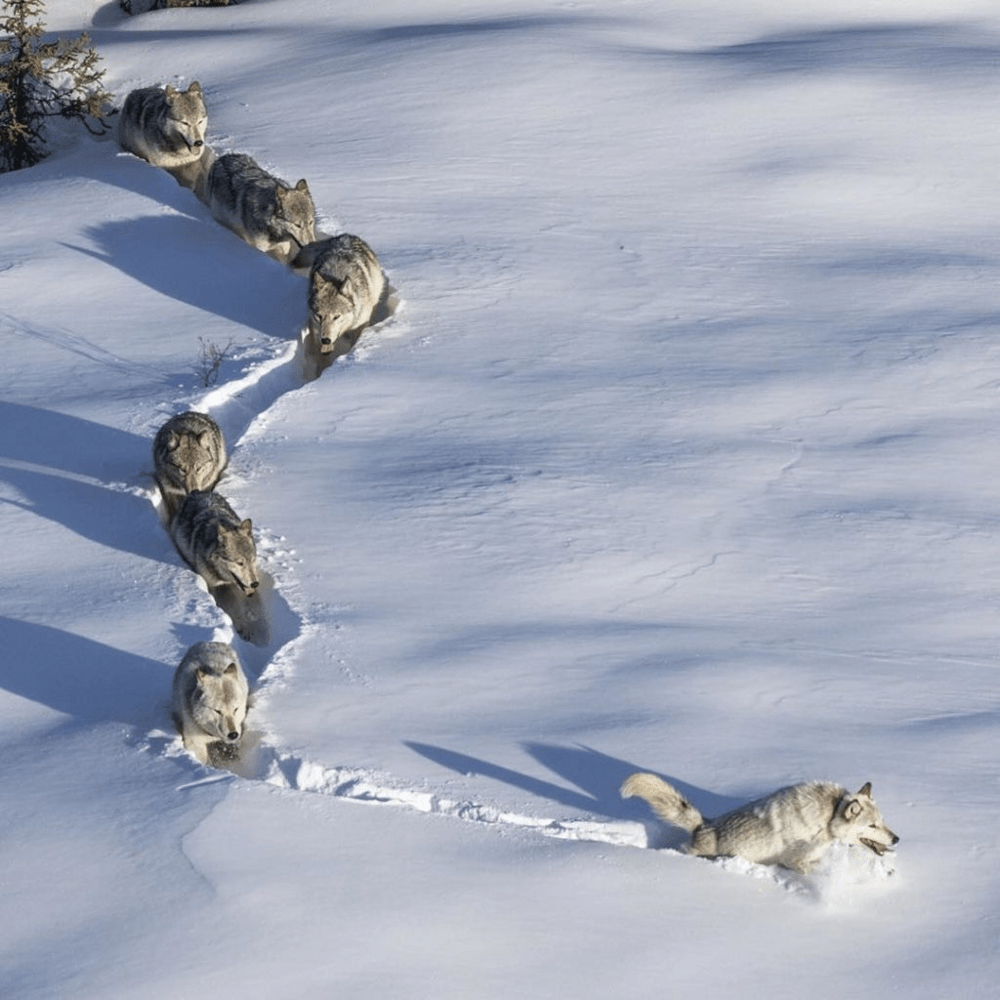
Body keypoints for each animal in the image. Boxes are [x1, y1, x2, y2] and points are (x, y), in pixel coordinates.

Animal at [620, 768, 904, 872]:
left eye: (882, 821)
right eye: (872, 825)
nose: (896, 839)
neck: (828, 817)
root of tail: (703, 824)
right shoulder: (795, 861)